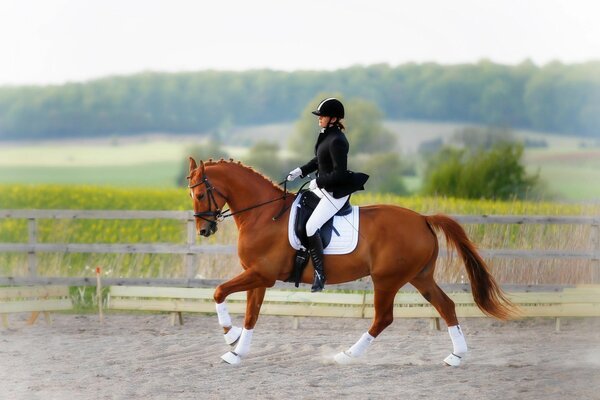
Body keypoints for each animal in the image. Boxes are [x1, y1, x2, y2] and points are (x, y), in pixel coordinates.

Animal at [188, 156, 516, 366]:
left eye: (201, 194)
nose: (204, 230)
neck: (264, 215)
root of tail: (423, 218)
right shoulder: (258, 276)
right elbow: (251, 315)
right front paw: (236, 351)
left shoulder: (262, 275)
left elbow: (219, 292)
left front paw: (230, 336)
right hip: (420, 276)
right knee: (445, 305)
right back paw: (456, 356)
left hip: (387, 280)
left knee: (383, 318)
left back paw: (347, 356)